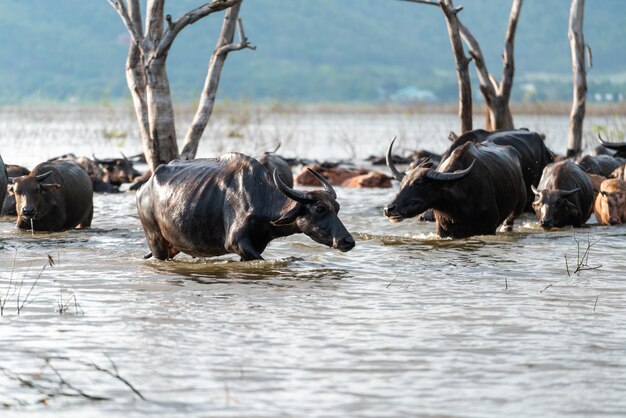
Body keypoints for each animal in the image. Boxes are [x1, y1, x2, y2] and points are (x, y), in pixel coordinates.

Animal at [135, 152, 356, 260]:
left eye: (337, 208)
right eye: (319, 209)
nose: (347, 241)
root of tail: (143, 189)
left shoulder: (254, 246)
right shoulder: (237, 243)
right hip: (156, 243)